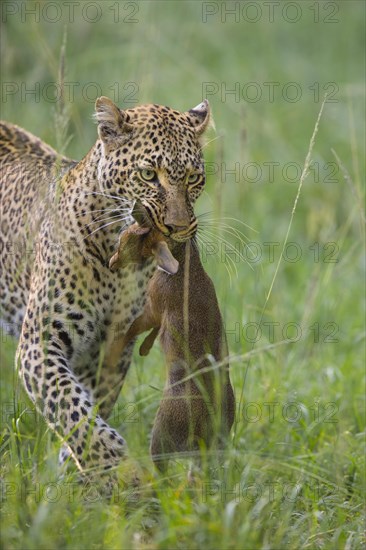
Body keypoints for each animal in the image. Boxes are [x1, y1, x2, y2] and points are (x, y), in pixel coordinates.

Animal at [0, 97, 212, 480]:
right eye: (148, 175)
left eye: (193, 178)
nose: (177, 228)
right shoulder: (39, 343)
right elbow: (70, 407)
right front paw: (111, 468)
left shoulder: (112, 348)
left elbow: (88, 407)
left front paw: (78, 479)